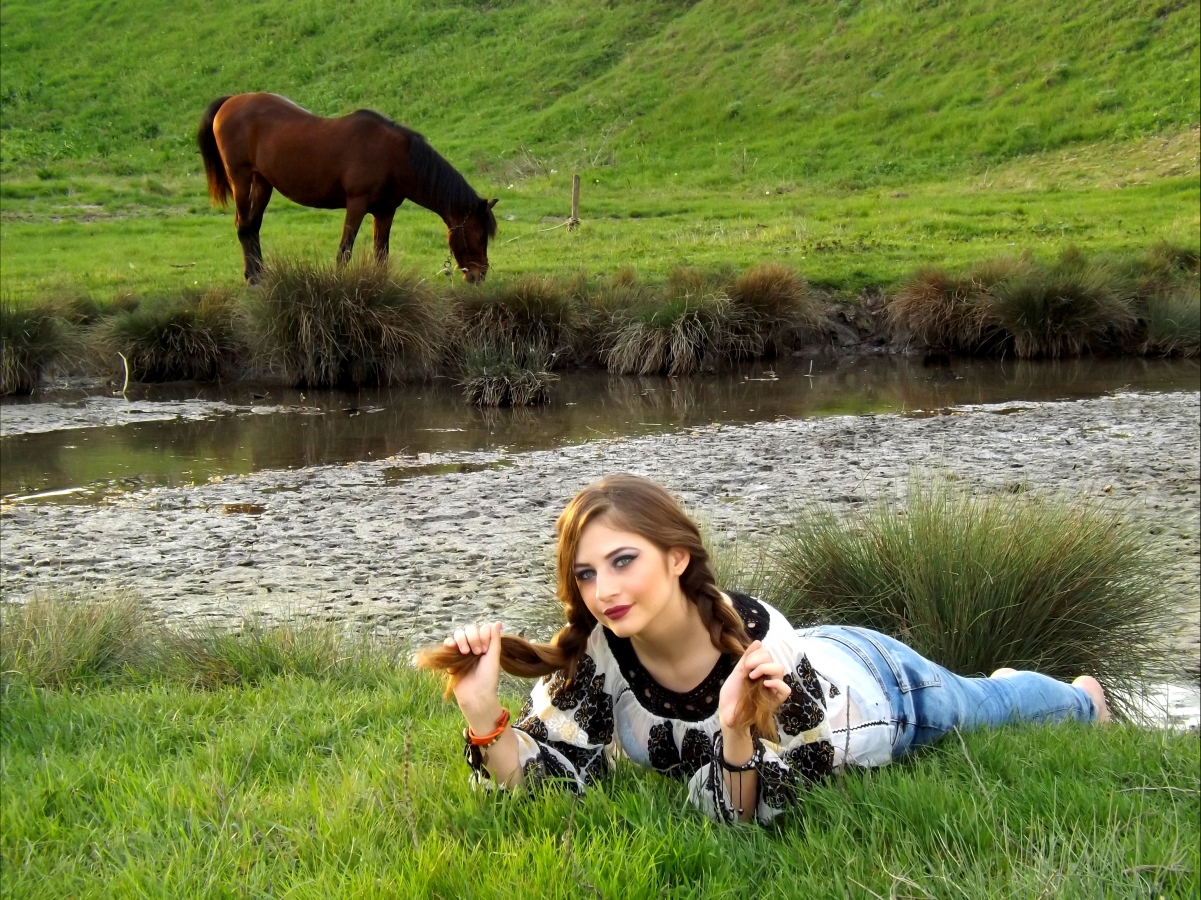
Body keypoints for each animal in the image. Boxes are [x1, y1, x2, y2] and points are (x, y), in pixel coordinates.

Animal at [197, 93, 497, 284]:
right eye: (479, 236)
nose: (479, 275)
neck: (393, 157)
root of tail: (230, 102)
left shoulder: (385, 211)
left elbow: (381, 253)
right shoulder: (356, 205)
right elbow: (345, 251)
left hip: (263, 183)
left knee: (253, 227)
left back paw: (260, 274)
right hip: (240, 178)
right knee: (244, 227)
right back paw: (253, 278)